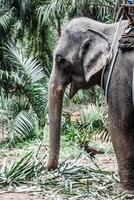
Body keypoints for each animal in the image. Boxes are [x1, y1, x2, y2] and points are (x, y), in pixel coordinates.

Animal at [46, 17, 134, 192]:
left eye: (61, 59)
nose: (50, 169)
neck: (105, 28)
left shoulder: (118, 74)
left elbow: (120, 124)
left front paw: (123, 191)